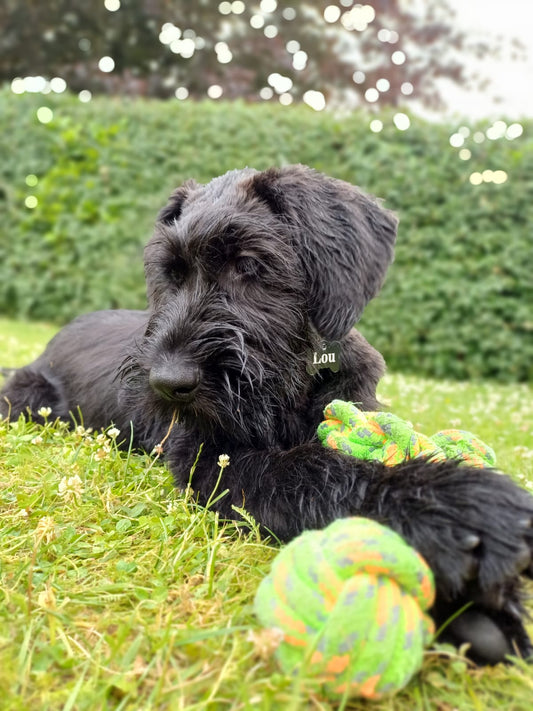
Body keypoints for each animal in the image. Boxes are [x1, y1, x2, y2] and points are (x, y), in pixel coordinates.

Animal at [1, 167, 532, 668]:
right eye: (171, 273)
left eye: (249, 265)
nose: (167, 383)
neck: (294, 384)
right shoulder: (212, 458)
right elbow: (307, 470)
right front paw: (447, 506)